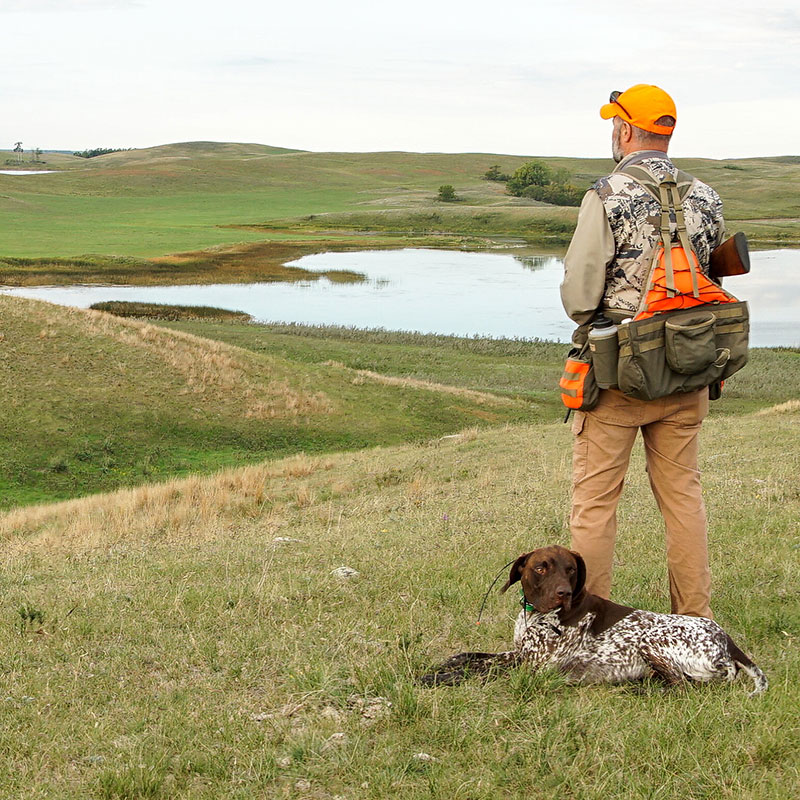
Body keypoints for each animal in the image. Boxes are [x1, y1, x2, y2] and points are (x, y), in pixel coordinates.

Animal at [424, 544, 768, 692]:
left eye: (570, 569)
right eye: (541, 568)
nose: (563, 593)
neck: (537, 616)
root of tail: (727, 641)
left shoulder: (533, 669)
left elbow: (479, 673)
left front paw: (434, 679)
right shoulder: (519, 654)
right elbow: (470, 657)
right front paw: (442, 665)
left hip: (651, 641)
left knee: (683, 685)